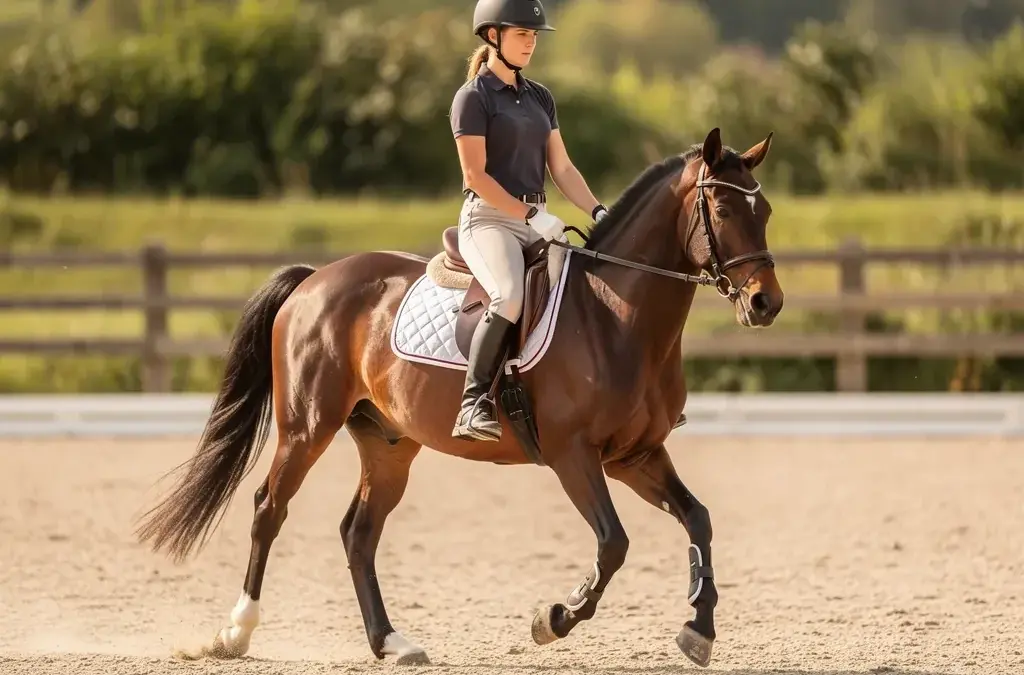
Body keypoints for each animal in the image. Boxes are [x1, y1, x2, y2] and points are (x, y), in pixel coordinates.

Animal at [134, 127, 784, 668]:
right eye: (722, 208)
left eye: (767, 211)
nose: (765, 304)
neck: (615, 314)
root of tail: (314, 279)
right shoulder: (575, 456)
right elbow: (614, 544)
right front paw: (553, 619)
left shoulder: (636, 456)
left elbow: (698, 518)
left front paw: (698, 629)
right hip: (306, 428)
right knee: (270, 508)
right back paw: (235, 632)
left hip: (389, 444)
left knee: (358, 533)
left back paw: (391, 643)